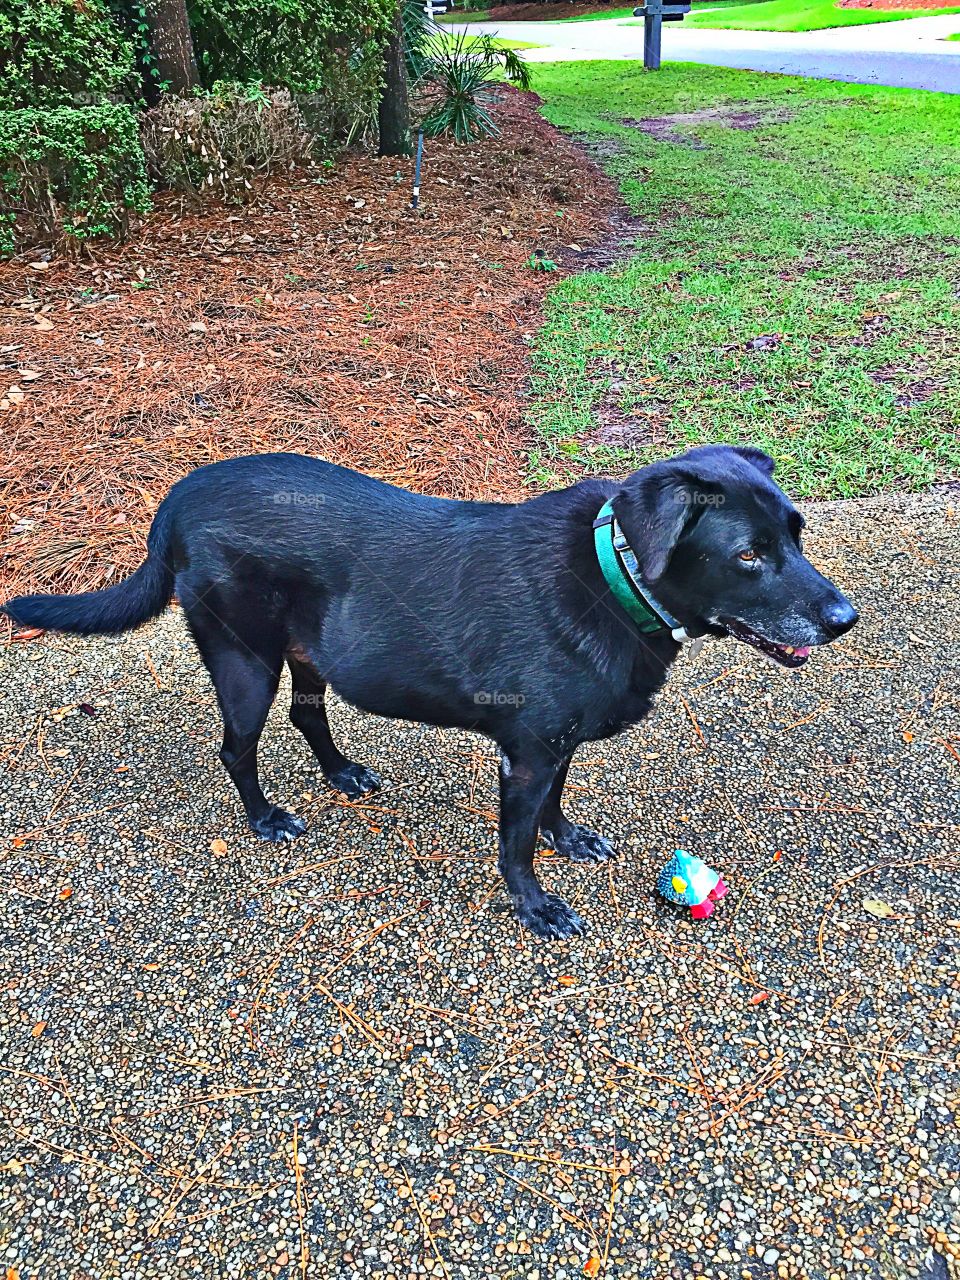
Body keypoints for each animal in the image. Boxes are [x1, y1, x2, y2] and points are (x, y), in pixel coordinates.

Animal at [0, 448, 855, 942]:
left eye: (797, 533)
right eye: (748, 555)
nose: (845, 619)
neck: (613, 572)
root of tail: (177, 497)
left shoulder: (555, 745)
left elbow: (552, 810)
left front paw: (568, 838)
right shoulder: (527, 755)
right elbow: (514, 844)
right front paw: (535, 906)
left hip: (313, 654)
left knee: (307, 715)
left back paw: (342, 772)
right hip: (245, 661)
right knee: (236, 747)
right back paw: (265, 817)